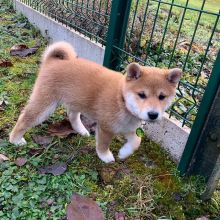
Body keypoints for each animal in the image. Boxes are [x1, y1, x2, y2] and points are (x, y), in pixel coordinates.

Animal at [9, 41, 182, 163]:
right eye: (142, 95)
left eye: (162, 97)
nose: (153, 114)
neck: (122, 101)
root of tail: (53, 61)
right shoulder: (106, 127)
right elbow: (103, 144)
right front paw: (105, 156)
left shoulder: (127, 128)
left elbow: (136, 142)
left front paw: (124, 153)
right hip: (45, 104)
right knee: (25, 118)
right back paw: (15, 140)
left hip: (76, 100)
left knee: (72, 115)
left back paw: (81, 130)